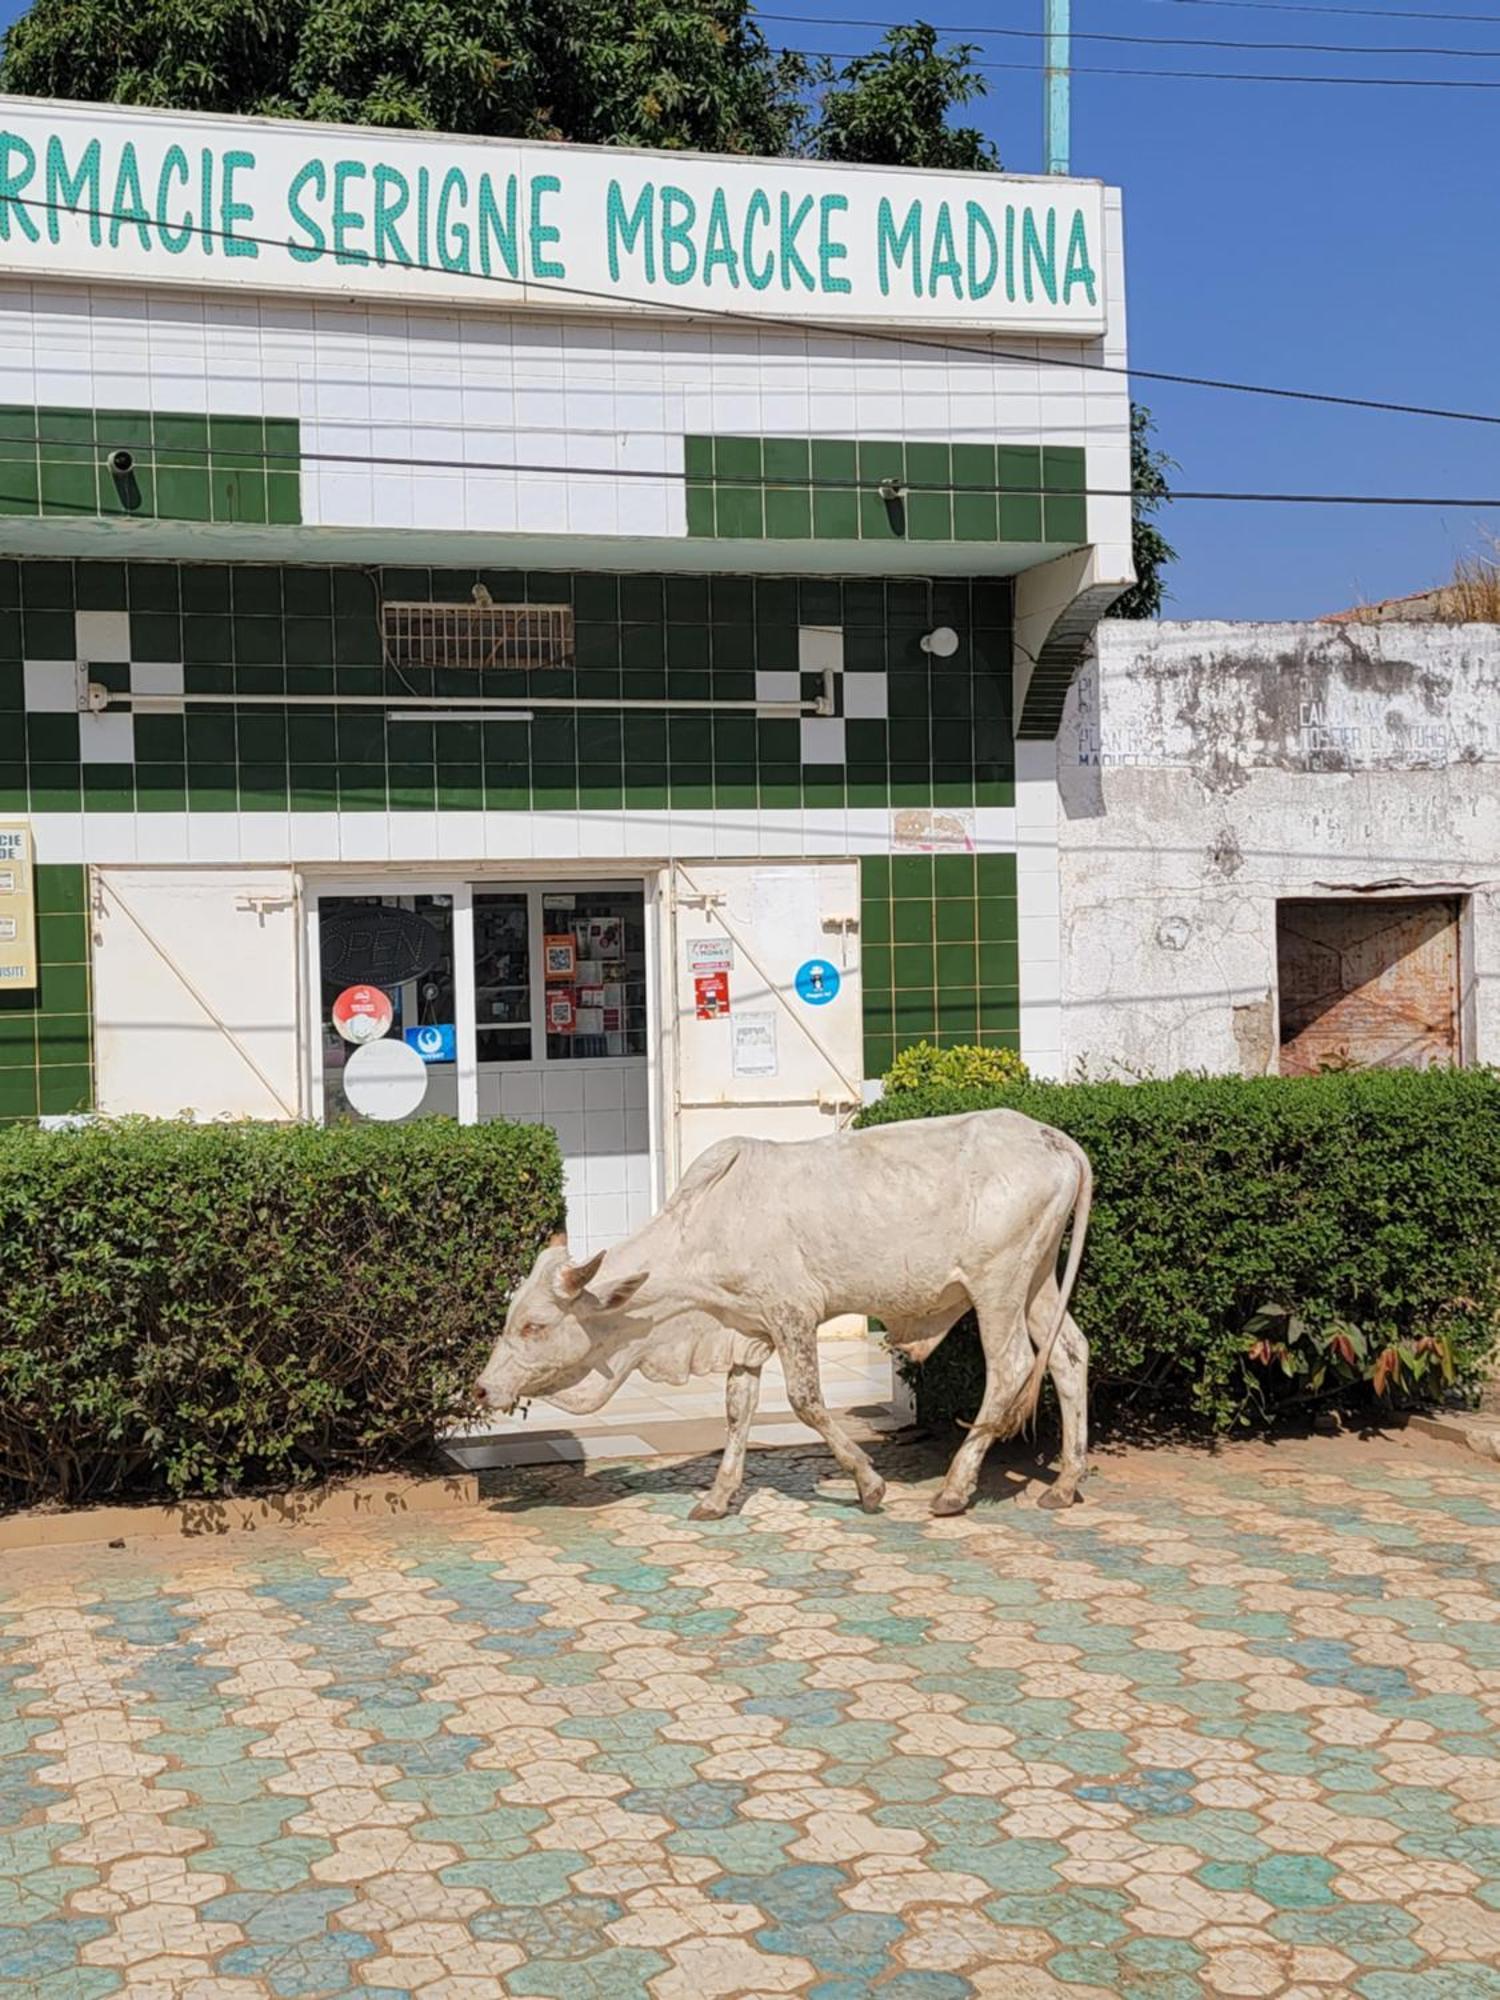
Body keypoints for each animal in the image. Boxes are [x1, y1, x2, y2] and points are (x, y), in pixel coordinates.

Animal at [478, 1112, 1096, 1512]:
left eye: (535, 1325)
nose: (483, 1388)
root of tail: (1055, 1139)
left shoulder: (792, 1313)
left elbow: (806, 1402)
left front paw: (869, 1484)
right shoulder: (745, 1328)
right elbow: (737, 1409)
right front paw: (719, 1495)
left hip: (998, 1284)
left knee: (1012, 1368)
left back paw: (955, 1487)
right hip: (1037, 1278)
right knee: (1068, 1354)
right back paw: (1065, 1482)